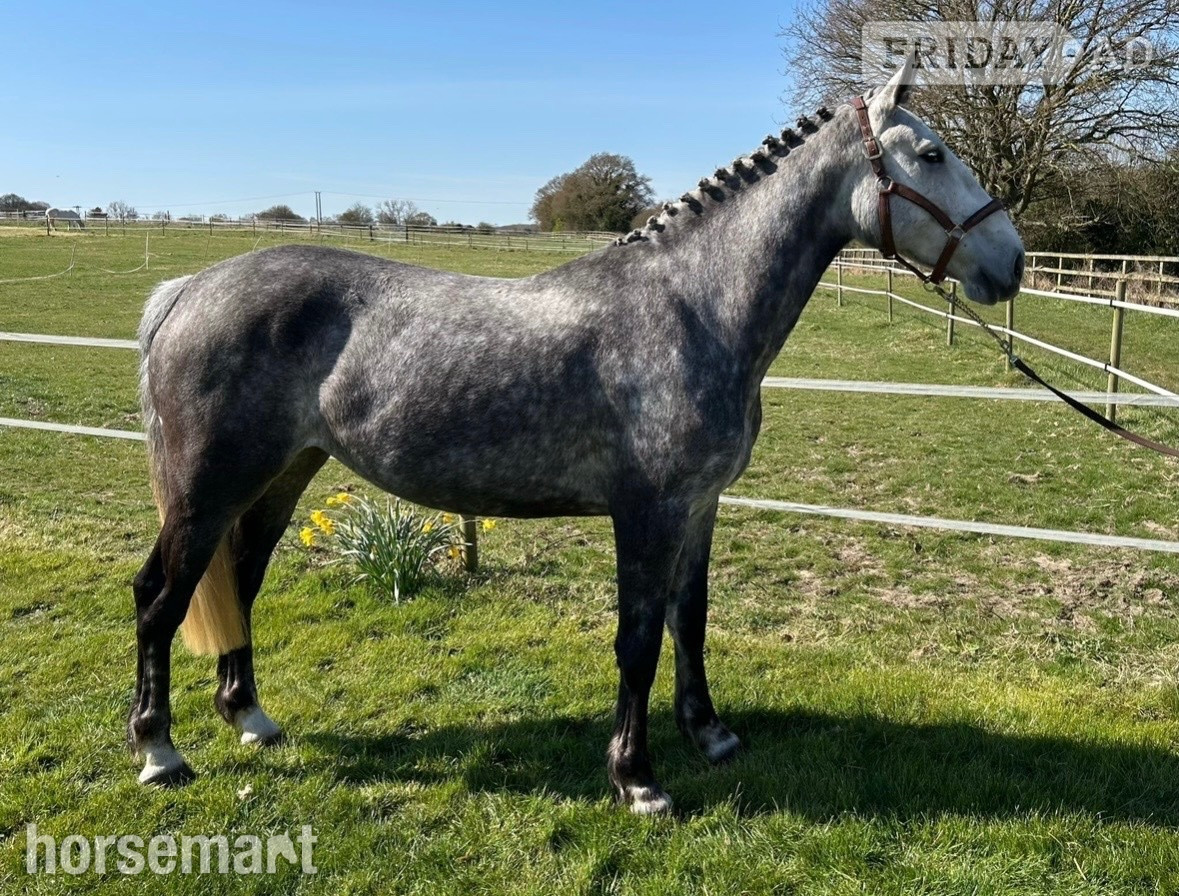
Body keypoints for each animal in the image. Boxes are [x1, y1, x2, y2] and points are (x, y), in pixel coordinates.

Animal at [129, 60, 1023, 812]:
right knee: (160, 598)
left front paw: (710, 735)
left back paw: (250, 717)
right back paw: (159, 751)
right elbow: (637, 639)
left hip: (282, 475)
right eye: (932, 153)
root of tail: (188, 290)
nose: (1011, 263)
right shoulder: (647, 513)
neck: (692, 306)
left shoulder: (699, 509)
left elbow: (689, 621)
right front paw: (637, 779)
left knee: (239, 581)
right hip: (206, 489)